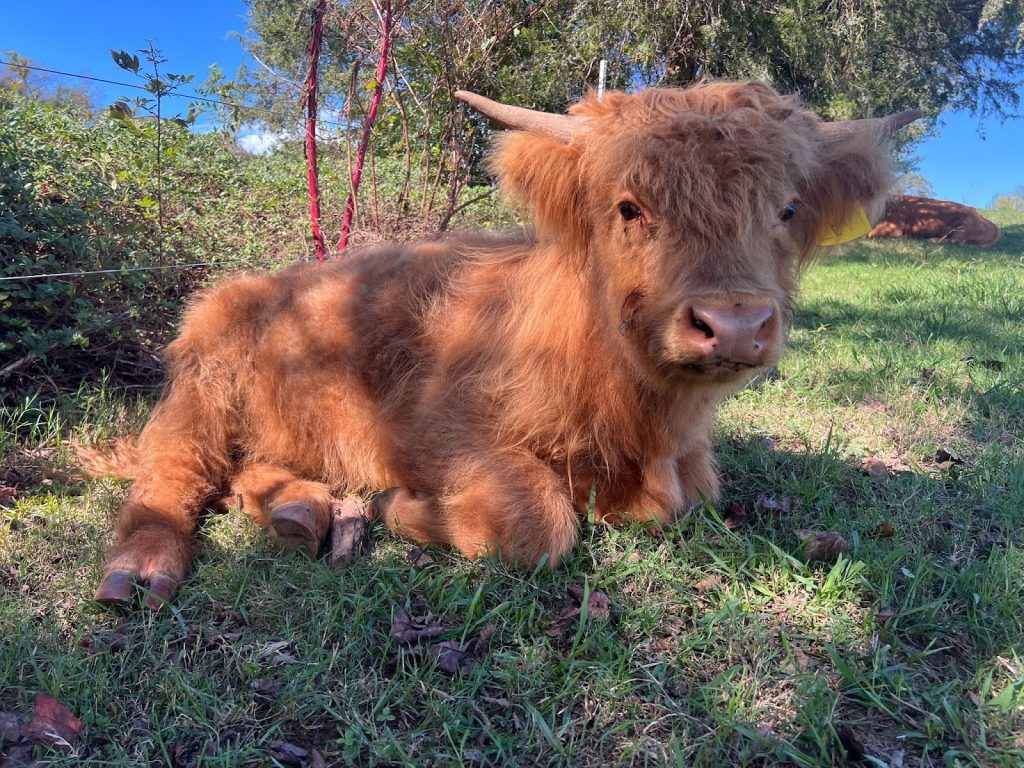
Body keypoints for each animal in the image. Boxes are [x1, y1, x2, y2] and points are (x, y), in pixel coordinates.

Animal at [77, 81, 919, 608]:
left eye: (787, 208)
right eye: (630, 207)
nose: (735, 322)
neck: (636, 415)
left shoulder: (686, 467)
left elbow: (682, 502)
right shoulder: (432, 426)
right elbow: (536, 525)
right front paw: (403, 509)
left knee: (248, 468)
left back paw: (302, 512)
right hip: (201, 385)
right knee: (173, 472)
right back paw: (139, 572)